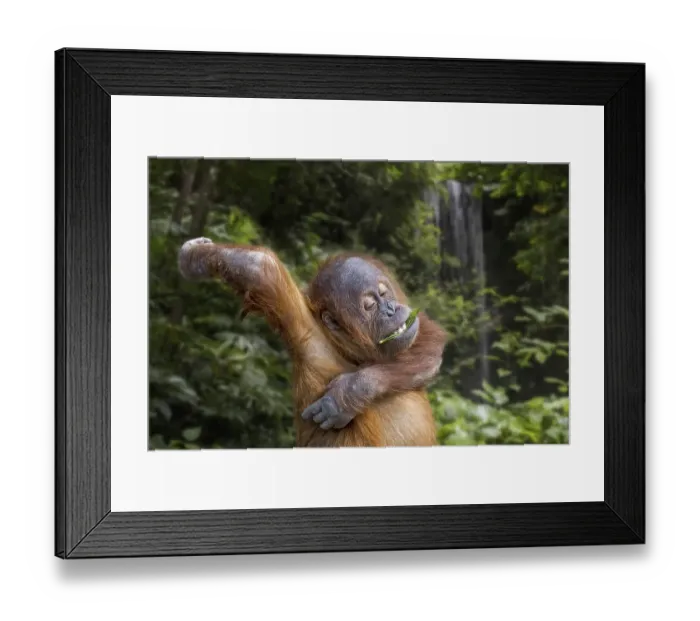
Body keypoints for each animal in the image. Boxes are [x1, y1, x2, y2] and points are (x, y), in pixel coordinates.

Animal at [177, 237, 447, 448]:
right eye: (369, 305)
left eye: (384, 292)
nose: (391, 309)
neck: (353, 357)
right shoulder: (311, 341)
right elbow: (262, 271)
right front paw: (193, 258)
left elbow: (425, 332)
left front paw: (349, 392)